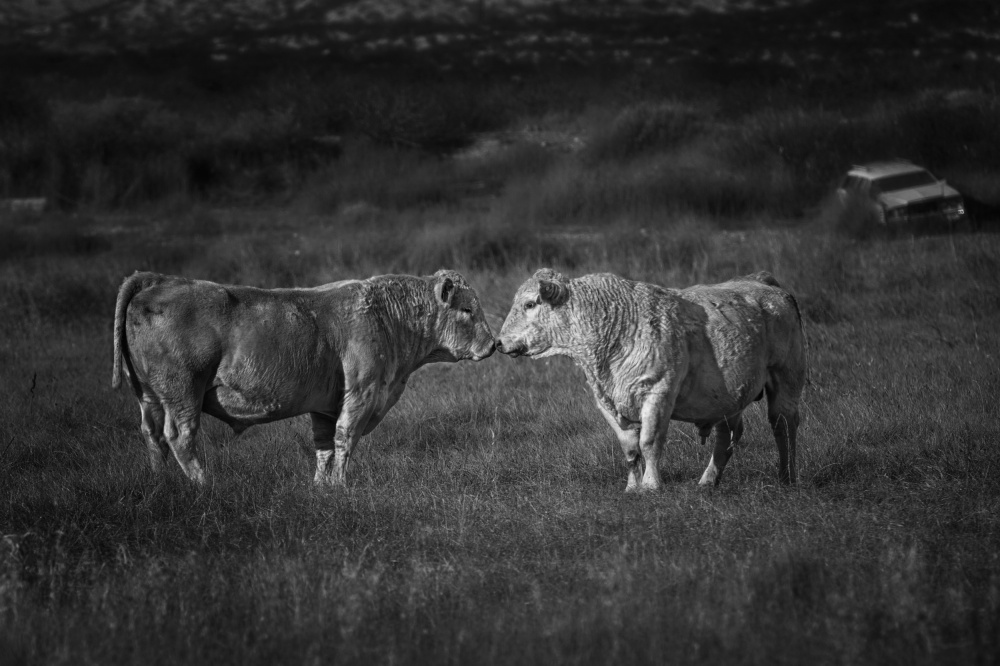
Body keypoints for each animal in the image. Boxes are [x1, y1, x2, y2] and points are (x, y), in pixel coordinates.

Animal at [111, 268, 494, 486]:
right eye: (467, 309)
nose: (492, 344)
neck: (388, 316)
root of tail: (161, 281)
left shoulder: (324, 406)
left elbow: (324, 446)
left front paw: (321, 487)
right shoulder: (361, 394)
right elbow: (345, 439)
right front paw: (340, 486)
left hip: (148, 397)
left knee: (153, 436)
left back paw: (161, 483)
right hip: (183, 393)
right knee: (180, 436)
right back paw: (205, 484)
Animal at [496, 268, 808, 490]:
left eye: (529, 304)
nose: (498, 342)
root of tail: (762, 282)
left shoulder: (658, 393)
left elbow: (649, 442)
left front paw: (651, 486)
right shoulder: (606, 402)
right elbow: (630, 448)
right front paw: (632, 487)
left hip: (787, 378)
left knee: (783, 424)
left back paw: (787, 477)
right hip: (728, 398)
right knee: (727, 435)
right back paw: (708, 481)